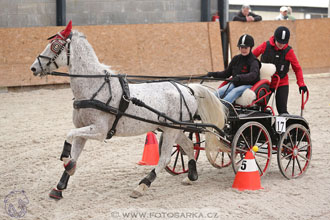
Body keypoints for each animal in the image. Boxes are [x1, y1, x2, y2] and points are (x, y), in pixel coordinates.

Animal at [30, 21, 227, 199]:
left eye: (55, 46)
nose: (33, 67)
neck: (93, 86)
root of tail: (187, 88)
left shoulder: (99, 131)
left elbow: (69, 136)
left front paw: (66, 162)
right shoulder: (83, 129)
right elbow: (75, 152)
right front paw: (60, 185)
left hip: (172, 130)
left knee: (165, 158)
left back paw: (142, 186)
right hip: (172, 128)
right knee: (187, 146)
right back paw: (191, 176)